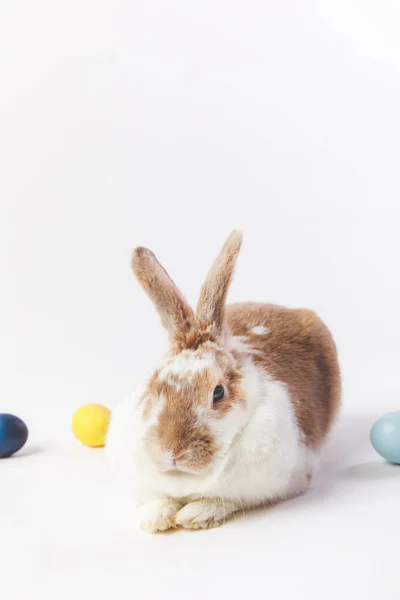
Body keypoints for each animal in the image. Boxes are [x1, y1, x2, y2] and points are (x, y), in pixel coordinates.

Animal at [104, 231, 340, 536]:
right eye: (153, 389)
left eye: (218, 392)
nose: (173, 452)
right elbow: (157, 500)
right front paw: (155, 518)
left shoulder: (289, 478)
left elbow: (223, 500)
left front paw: (195, 515)